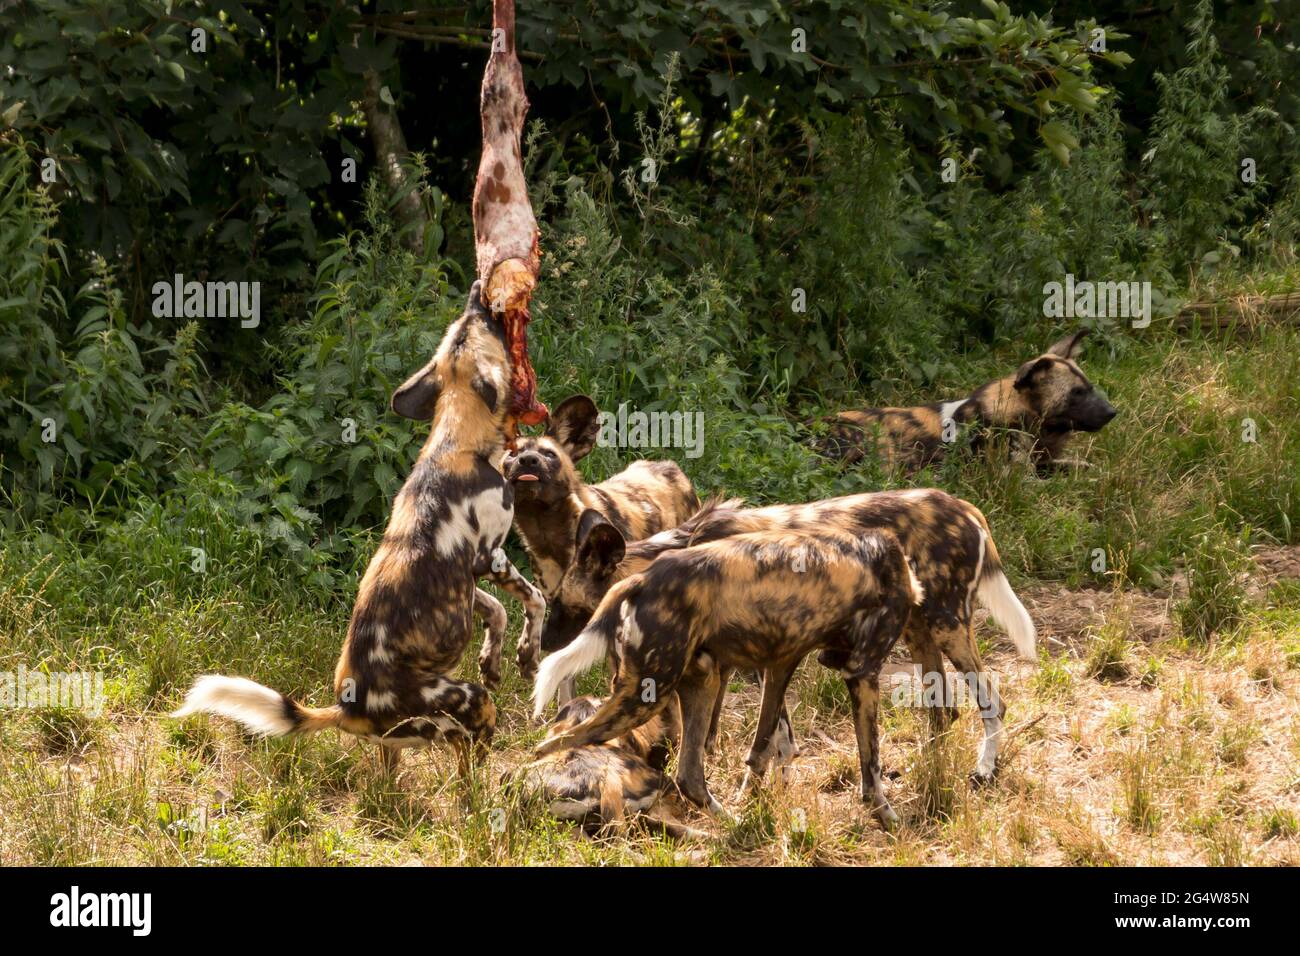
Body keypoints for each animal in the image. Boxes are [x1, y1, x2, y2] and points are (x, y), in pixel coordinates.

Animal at [170, 280, 546, 775]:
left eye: (464, 321)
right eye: (479, 322)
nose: (478, 288)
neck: (459, 438)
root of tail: (346, 707)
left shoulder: (467, 580)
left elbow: (497, 610)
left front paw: (493, 659)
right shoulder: (490, 558)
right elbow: (534, 598)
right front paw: (527, 655)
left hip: (401, 740)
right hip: (464, 706)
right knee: (471, 756)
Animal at [499, 392, 702, 691]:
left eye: (549, 454)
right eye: (512, 454)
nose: (527, 461)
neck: (550, 534)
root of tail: (671, 467)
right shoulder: (563, 614)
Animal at [530, 528, 925, 827]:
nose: (546, 640)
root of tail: (642, 578)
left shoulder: (779, 664)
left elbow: (763, 747)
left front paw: (753, 796)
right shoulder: (862, 672)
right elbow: (871, 761)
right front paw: (886, 817)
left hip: (699, 682)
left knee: (688, 774)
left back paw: (730, 821)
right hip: (645, 697)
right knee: (556, 744)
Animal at [543, 489, 1040, 780]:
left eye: (564, 607)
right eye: (551, 603)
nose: (544, 647)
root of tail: (966, 508)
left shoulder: (760, 660)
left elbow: (768, 740)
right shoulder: (746, 660)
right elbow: (760, 739)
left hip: (946, 624)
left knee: (992, 702)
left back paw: (982, 770)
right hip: (918, 633)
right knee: (944, 713)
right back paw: (921, 768)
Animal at [821, 330, 1118, 476]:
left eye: (1090, 388)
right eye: (1076, 393)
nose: (1112, 412)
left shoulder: (1043, 462)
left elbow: (1084, 469)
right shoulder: (1019, 479)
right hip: (878, 444)